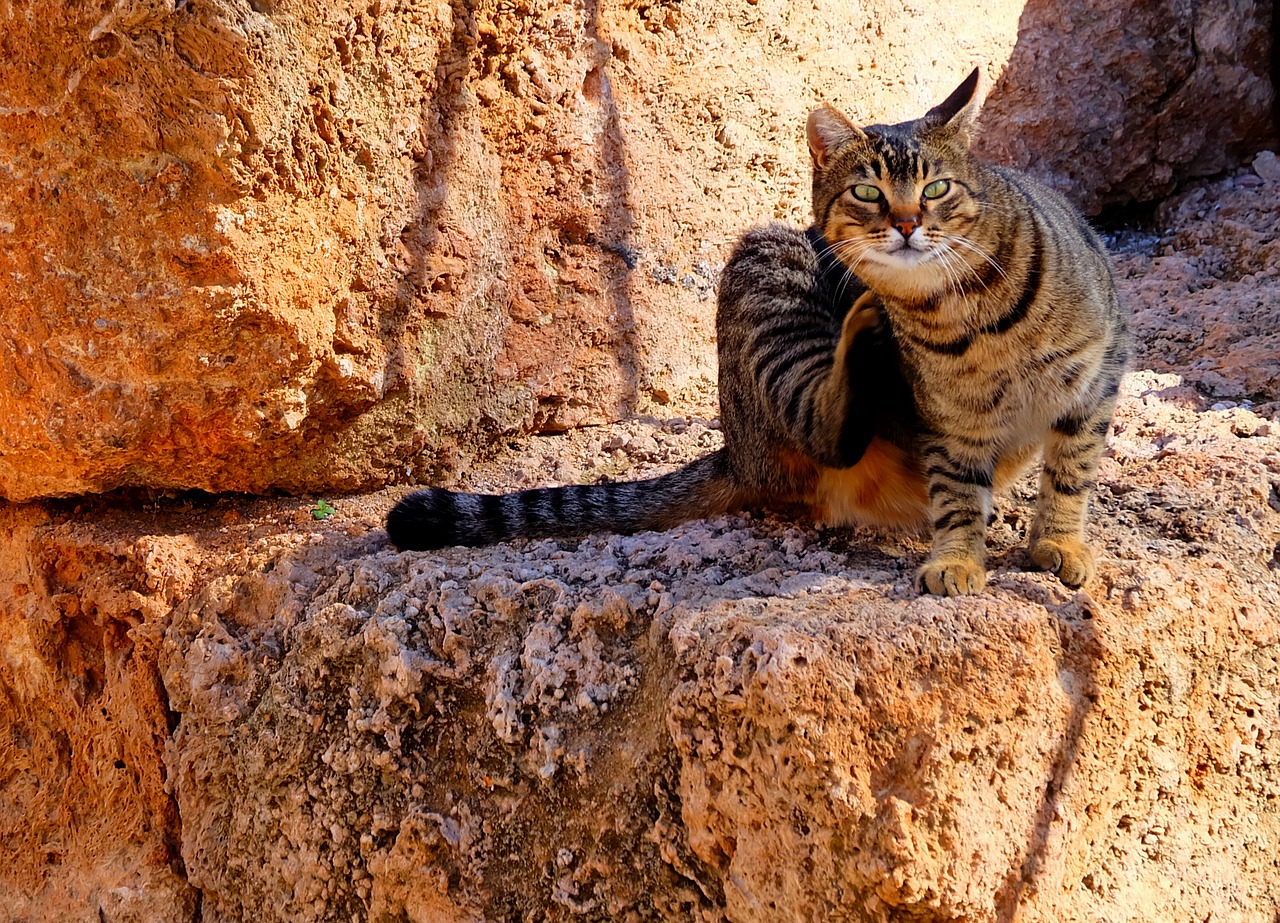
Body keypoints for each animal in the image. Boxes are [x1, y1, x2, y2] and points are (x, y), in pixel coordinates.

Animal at [386, 68, 1131, 593]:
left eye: (937, 188)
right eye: (867, 191)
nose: (906, 223)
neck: (969, 313)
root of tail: (734, 453)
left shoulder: (1098, 377)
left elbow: (1070, 474)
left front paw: (1059, 542)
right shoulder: (949, 422)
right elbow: (956, 497)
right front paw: (958, 560)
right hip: (768, 266)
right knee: (828, 427)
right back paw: (863, 332)